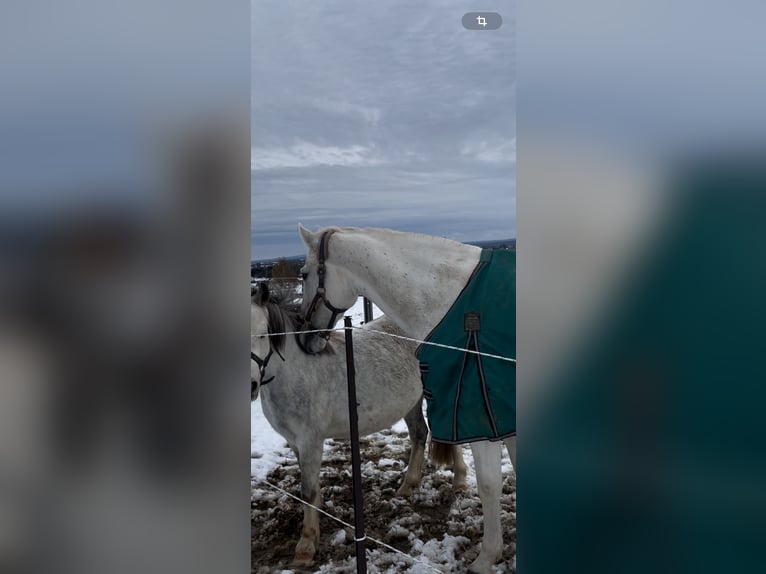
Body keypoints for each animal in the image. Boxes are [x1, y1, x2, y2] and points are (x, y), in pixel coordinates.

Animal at [252, 284, 468, 568]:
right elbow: (310, 488)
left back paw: (460, 481)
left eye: (262, 333)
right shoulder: (296, 442)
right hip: (412, 402)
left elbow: (307, 490)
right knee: (419, 434)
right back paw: (407, 486)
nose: (250, 386)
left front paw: (306, 545)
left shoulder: (310, 440)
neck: (297, 372)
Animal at [296, 226, 520, 574]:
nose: (306, 337)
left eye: (304, 274)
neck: (451, 300)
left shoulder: (481, 417)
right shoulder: (503, 415)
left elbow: (489, 484)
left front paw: (487, 557)